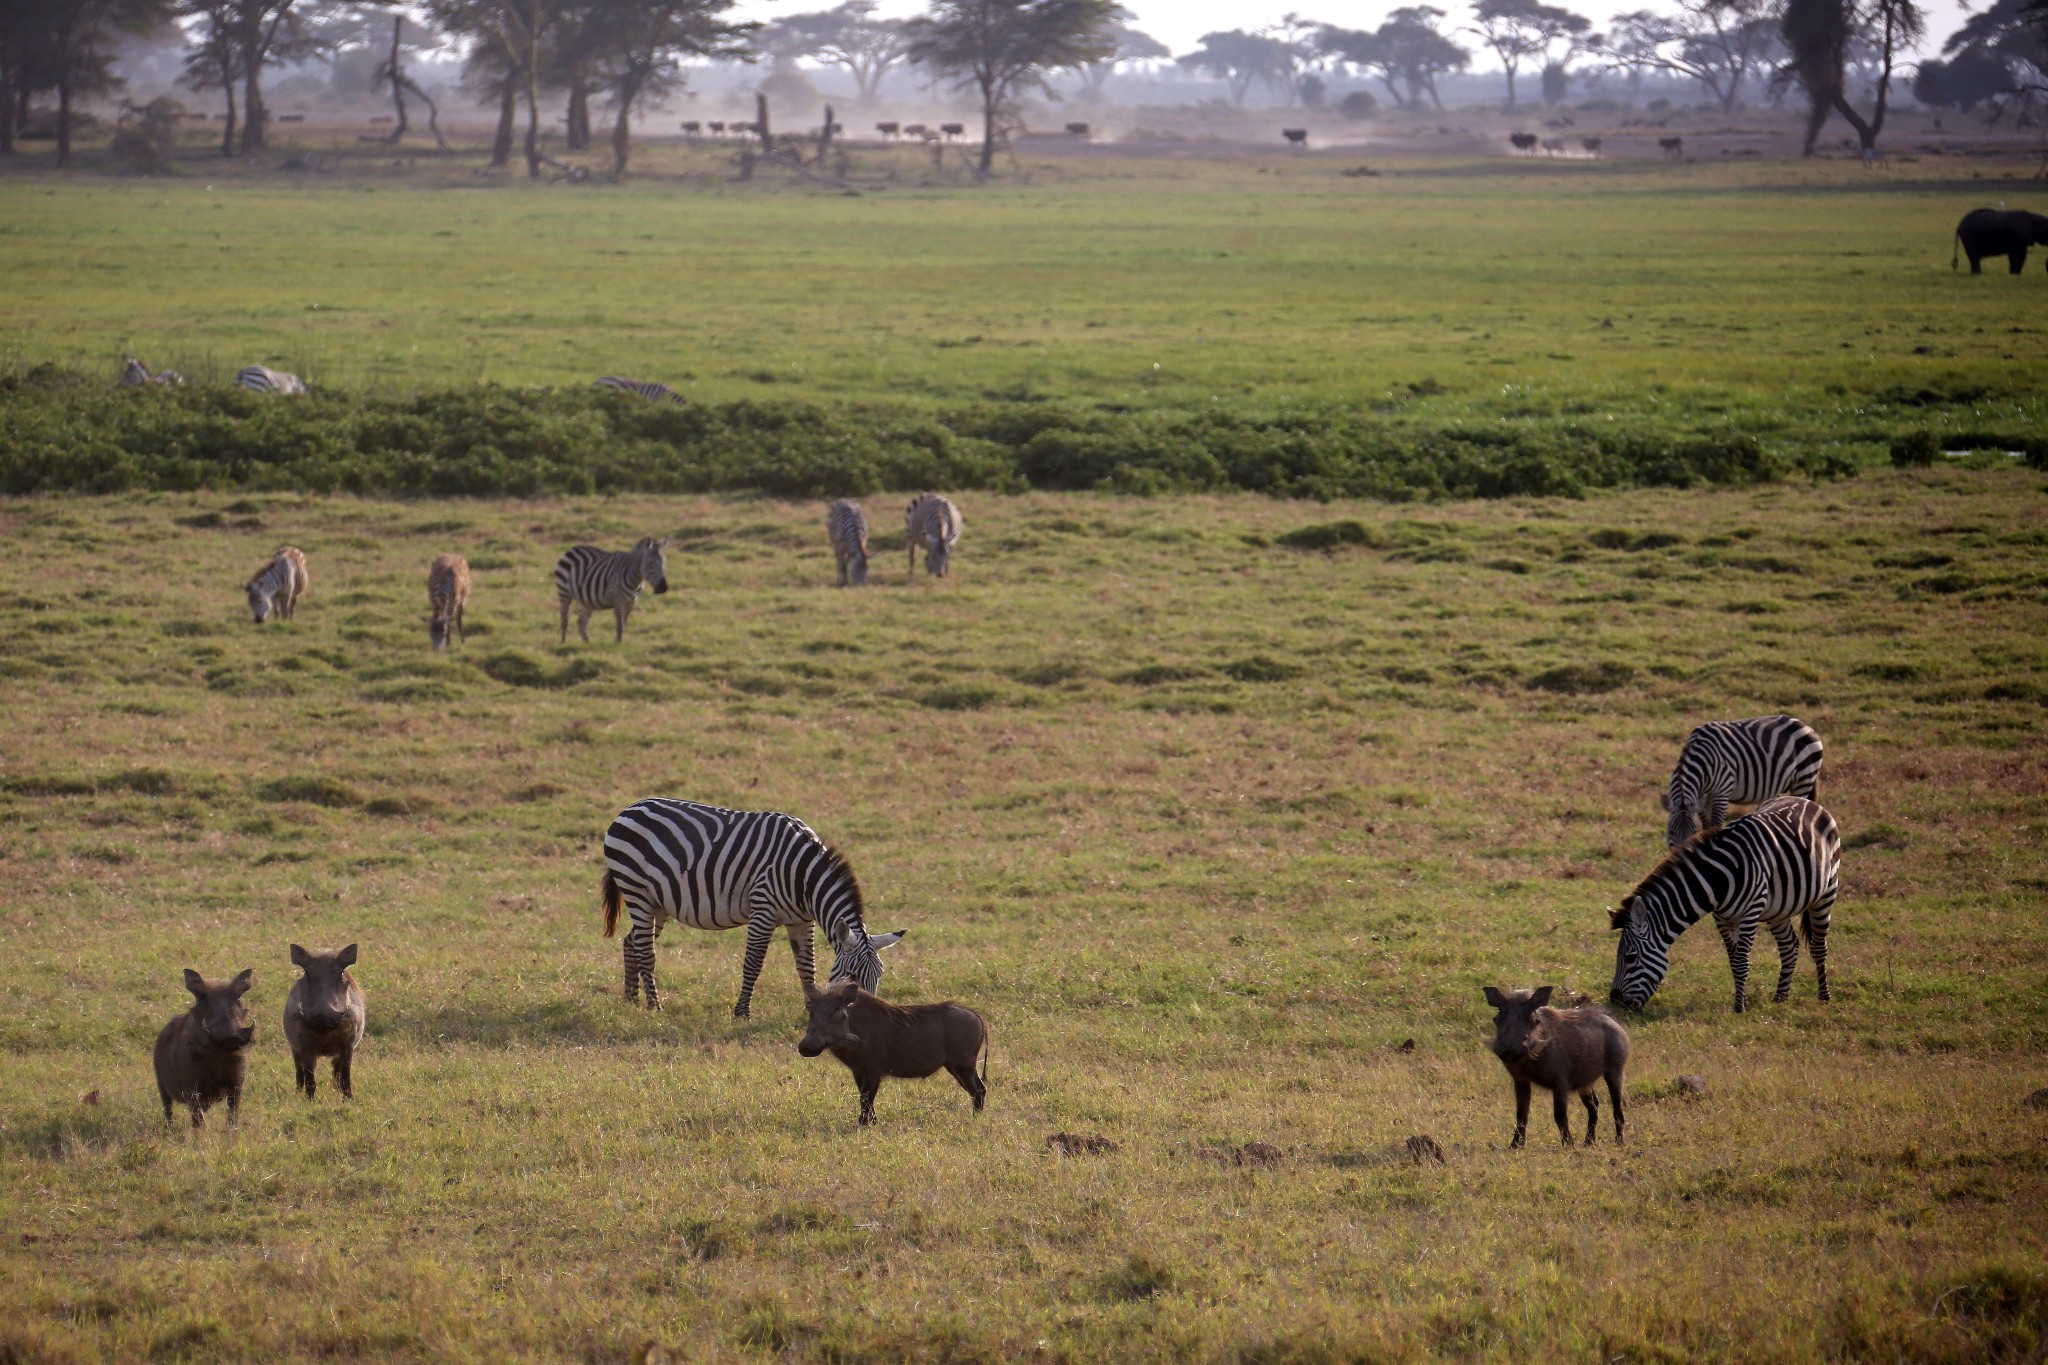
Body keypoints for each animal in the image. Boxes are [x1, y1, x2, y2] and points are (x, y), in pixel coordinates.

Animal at [598, 802, 909, 1015]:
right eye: (853, 976)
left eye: (879, 976)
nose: (869, 1016)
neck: (804, 879)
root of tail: (630, 808)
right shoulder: (763, 910)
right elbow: (753, 963)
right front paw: (742, 1012)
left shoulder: (801, 920)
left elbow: (806, 966)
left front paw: (812, 1007)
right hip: (637, 890)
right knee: (645, 950)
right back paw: (654, 1005)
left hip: (658, 902)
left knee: (632, 942)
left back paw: (631, 999)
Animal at [1605, 794, 1851, 1010]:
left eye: (1630, 957)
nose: (1614, 1001)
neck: (1716, 880)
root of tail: (1806, 801)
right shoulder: (1721, 917)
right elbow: (1733, 961)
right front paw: (1743, 1000)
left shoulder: (1750, 913)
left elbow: (1741, 960)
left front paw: (1739, 1008)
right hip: (1778, 909)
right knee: (1789, 946)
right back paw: (1780, 998)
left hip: (1827, 892)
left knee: (1818, 946)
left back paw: (1824, 997)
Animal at [1662, 720, 1826, 847]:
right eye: (1671, 832)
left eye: (1693, 831)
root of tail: (1805, 726)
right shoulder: (1701, 798)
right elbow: (1707, 825)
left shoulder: (1722, 789)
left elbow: (1715, 824)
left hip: (1804, 779)